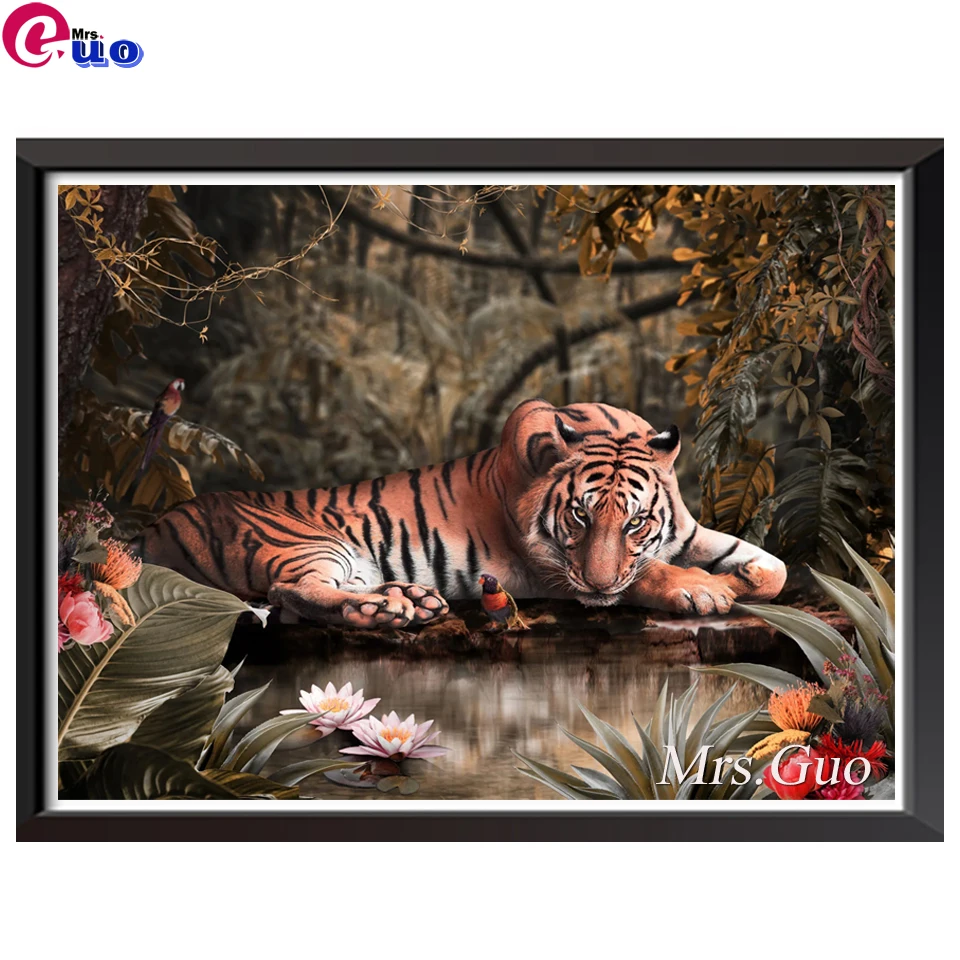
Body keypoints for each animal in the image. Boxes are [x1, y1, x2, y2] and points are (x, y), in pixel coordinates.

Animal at [138, 398, 787, 628]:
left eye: (636, 522)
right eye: (579, 519)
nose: (599, 584)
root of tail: (158, 526)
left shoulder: (687, 531)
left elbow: (771, 568)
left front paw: (736, 578)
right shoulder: (550, 568)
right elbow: (645, 575)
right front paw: (702, 589)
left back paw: (409, 600)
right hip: (309, 542)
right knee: (289, 592)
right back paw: (386, 611)